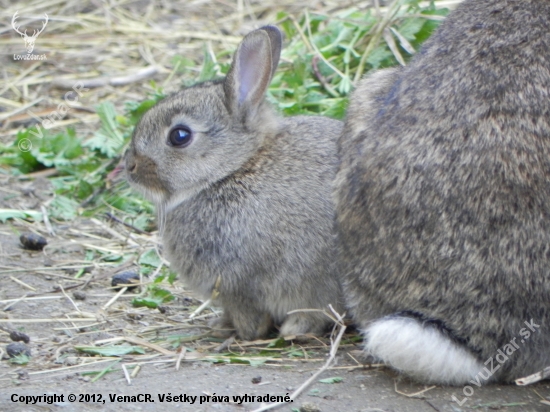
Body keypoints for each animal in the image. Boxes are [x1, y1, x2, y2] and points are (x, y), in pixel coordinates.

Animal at [128, 26, 348, 342]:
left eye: (179, 136)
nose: (129, 166)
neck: (234, 169)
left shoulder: (239, 285)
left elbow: (250, 315)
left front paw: (241, 333)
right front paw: (220, 325)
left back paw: (293, 329)